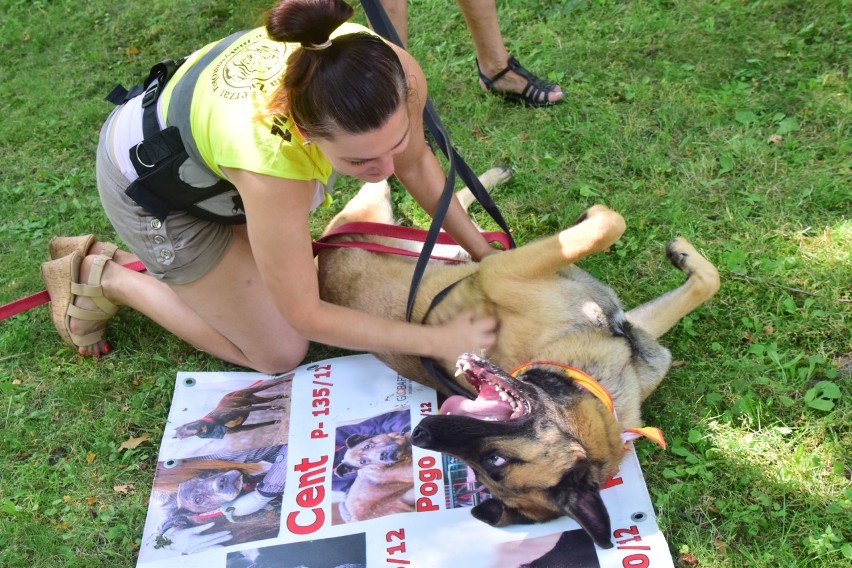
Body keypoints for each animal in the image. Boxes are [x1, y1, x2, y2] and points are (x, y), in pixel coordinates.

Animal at [316, 170, 724, 552]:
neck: (587, 379)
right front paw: (596, 218)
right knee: (405, 193)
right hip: (378, 214)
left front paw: (683, 254)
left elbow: (707, 280)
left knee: (446, 206)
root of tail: (323, 258)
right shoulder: (504, 270)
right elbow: (609, 223)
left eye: (492, 463)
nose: (419, 434)